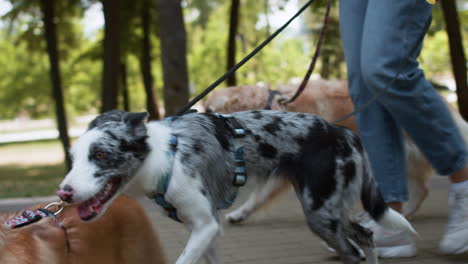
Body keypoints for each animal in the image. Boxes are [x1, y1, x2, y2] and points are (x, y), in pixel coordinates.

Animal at [57, 109, 414, 264]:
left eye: (101, 155)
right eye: (72, 159)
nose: (63, 193)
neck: (165, 156)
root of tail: (343, 133)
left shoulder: (204, 226)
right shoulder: (205, 229)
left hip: (321, 215)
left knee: (354, 252)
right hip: (332, 208)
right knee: (366, 238)